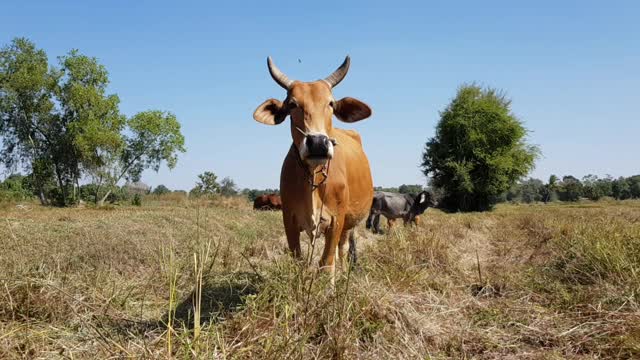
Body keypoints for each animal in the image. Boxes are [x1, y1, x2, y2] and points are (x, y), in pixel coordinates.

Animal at [254, 57, 376, 282]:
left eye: (331, 103)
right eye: (292, 104)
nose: (318, 142)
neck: (314, 178)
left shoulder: (336, 220)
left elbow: (327, 263)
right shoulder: (289, 220)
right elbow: (298, 261)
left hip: (349, 223)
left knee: (342, 249)